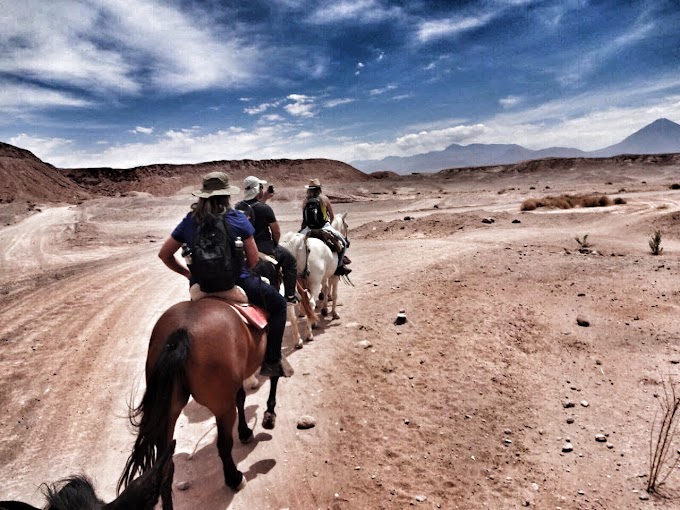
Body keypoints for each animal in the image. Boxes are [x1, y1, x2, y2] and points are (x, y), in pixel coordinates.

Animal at [117, 296, 278, 504]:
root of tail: (181, 330)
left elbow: (241, 398)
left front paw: (245, 431)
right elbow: (274, 376)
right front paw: (269, 415)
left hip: (170, 411)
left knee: (165, 467)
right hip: (222, 406)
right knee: (223, 445)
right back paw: (234, 479)